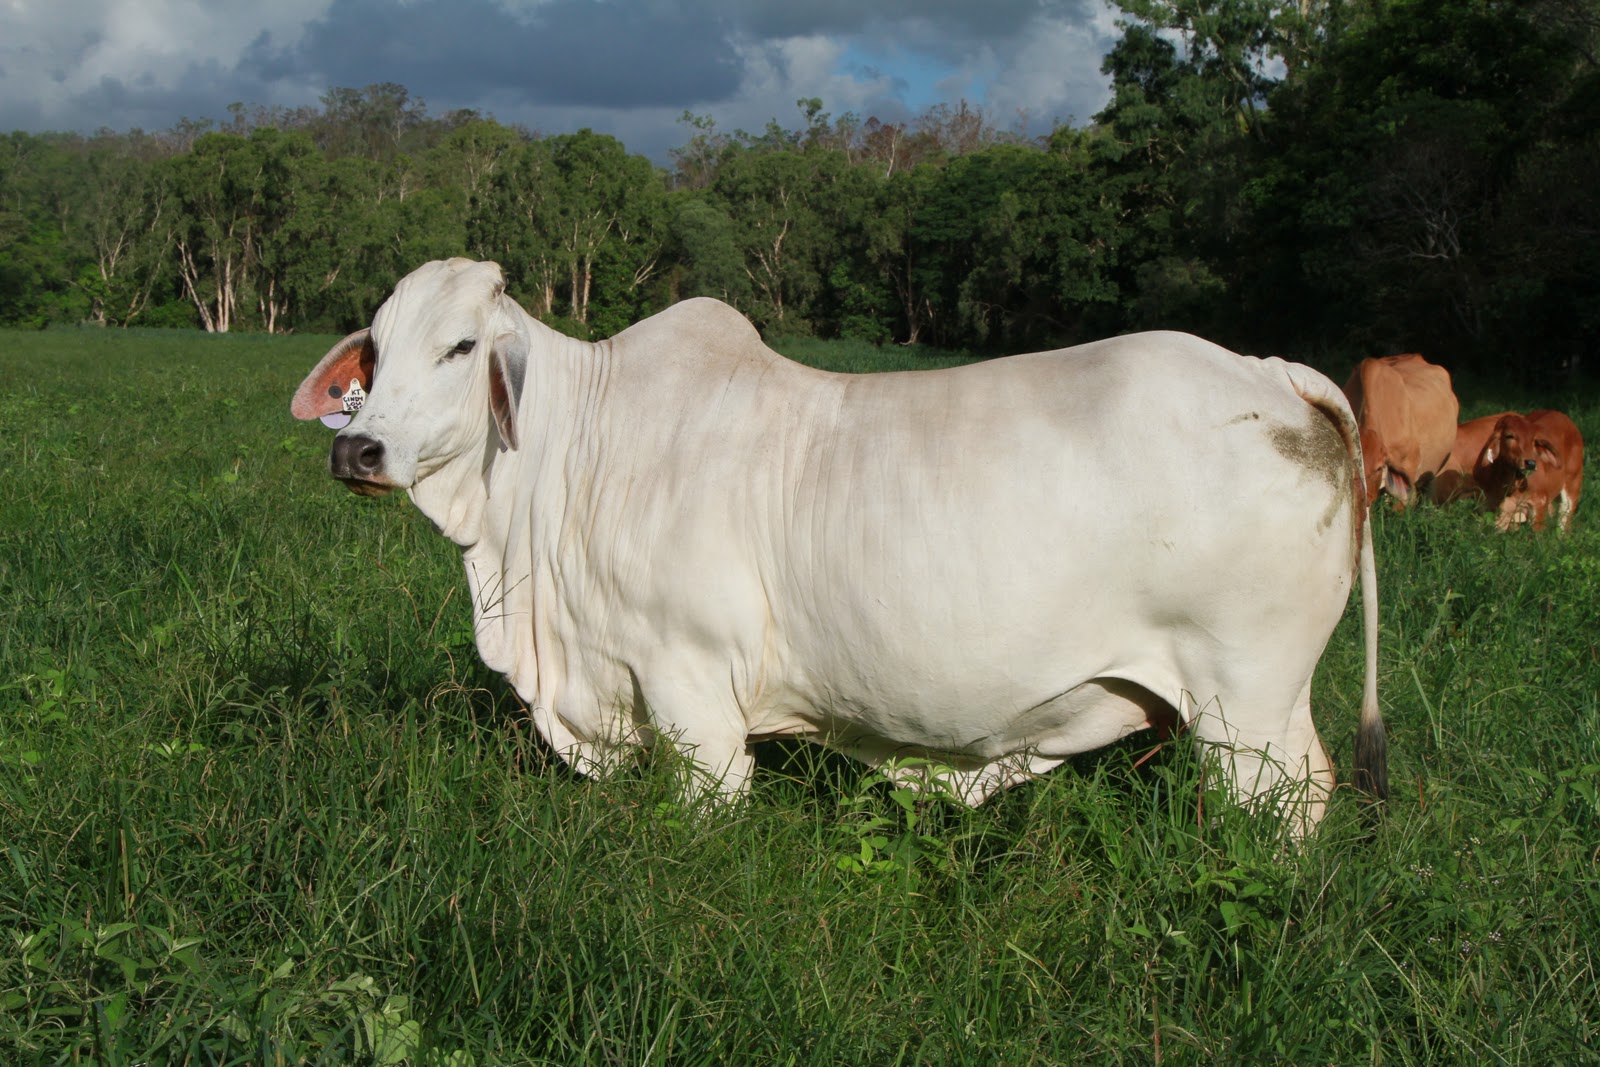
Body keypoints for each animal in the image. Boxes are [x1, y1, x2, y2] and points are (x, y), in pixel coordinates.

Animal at [291, 258, 1385, 836]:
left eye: (461, 348)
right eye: (373, 352)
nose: (356, 447)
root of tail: (1270, 371)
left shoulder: (693, 688)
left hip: (1247, 701)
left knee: (1291, 805)